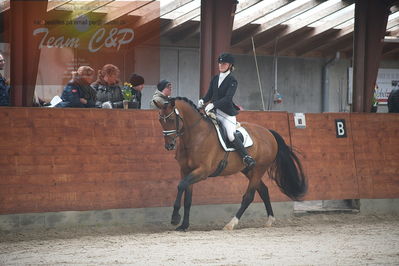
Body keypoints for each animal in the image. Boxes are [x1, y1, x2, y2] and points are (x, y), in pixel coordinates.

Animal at [155, 97, 308, 231]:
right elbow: (187, 198)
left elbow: (180, 185)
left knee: (248, 197)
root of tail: (268, 132)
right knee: (264, 191)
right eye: (160, 120)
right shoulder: (186, 171)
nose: (169, 145)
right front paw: (183, 225)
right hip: (249, 170)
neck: (195, 136)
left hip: (259, 169)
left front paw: (175, 218)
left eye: (171, 119)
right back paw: (269, 220)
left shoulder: (202, 171)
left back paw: (231, 224)